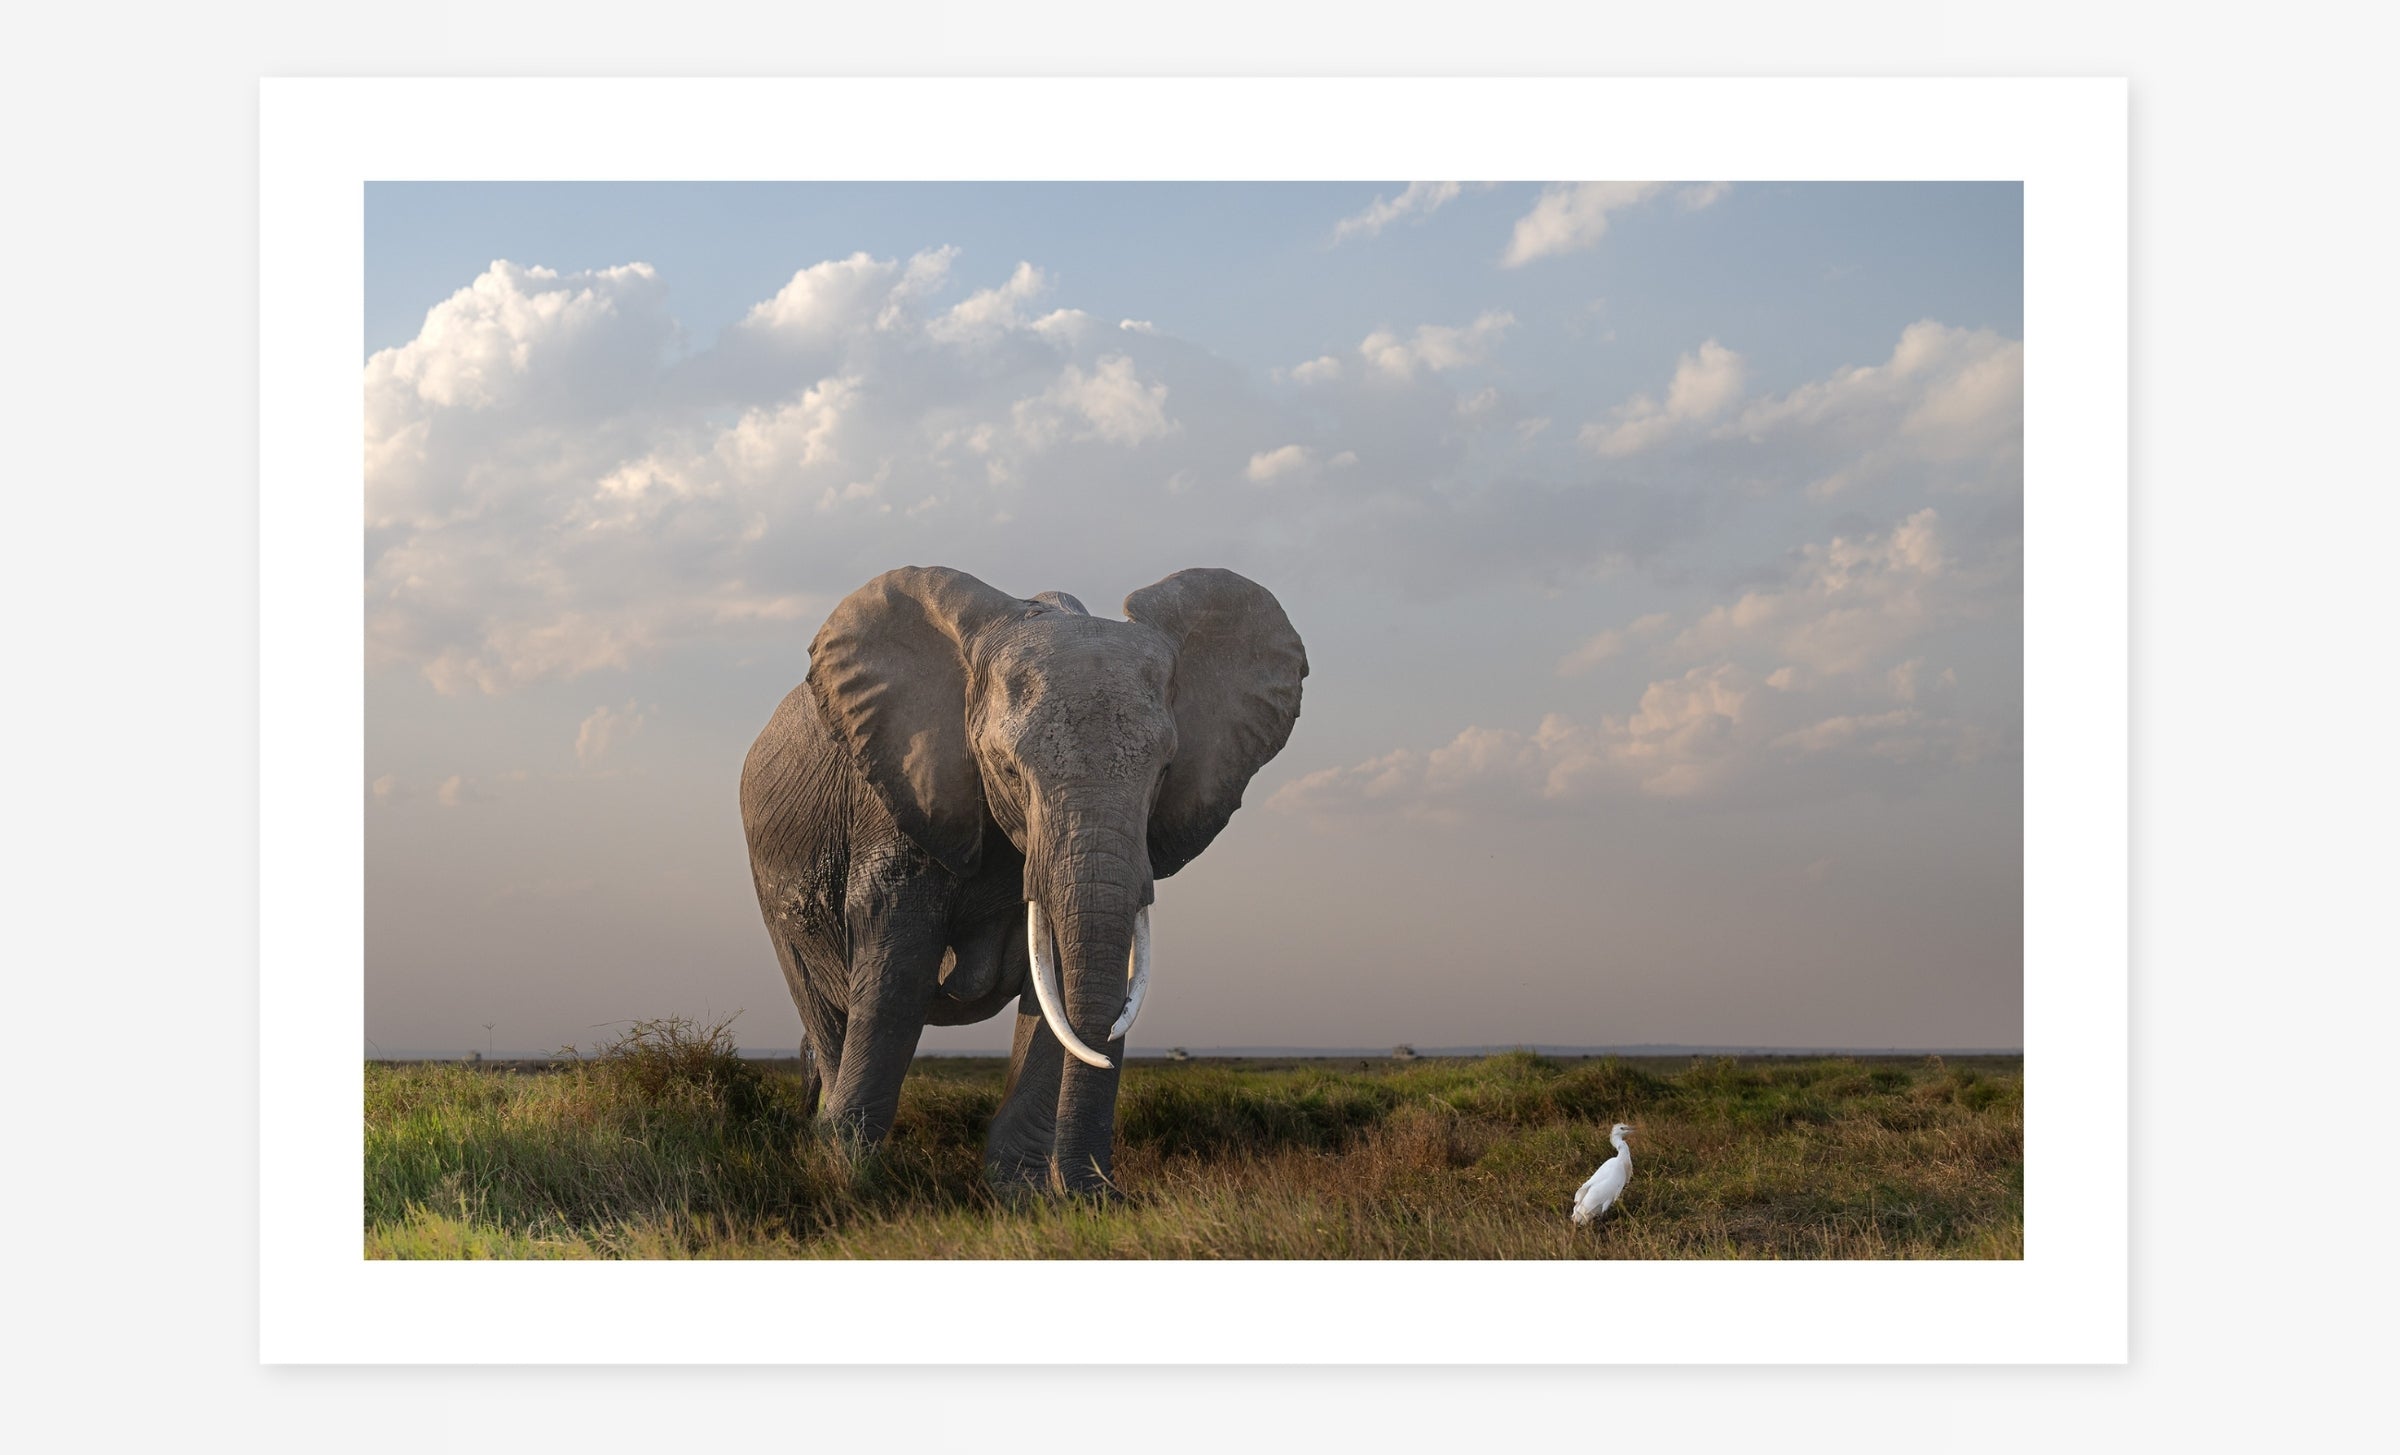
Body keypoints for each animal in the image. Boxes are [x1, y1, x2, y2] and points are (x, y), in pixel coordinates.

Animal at [739, 565, 1307, 1193]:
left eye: (1163, 772)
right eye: (1009, 769)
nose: (1107, 1196)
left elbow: (1054, 982)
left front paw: (1025, 1197)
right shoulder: (896, 796)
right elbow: (897, 971)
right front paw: (848, 1181)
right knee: (826, 1009)